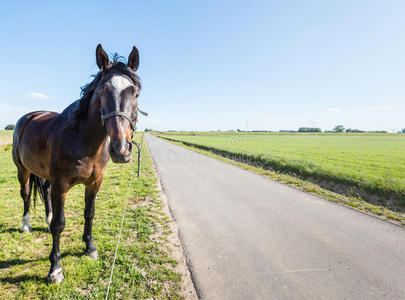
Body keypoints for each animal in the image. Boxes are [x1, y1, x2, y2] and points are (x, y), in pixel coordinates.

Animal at [11, 44, 142, 284]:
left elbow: (89, 213)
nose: (121, 149)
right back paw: (26, 225)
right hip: (22, 170)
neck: (83, 139)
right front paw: (55, 269)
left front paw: (89, 248)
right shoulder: (61, 185)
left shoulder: (94, 183)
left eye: (135, 92)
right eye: (102, 92)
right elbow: (59, 225)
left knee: (45, 191)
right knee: (25, 194)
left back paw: (46, 217)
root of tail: (28, 117)